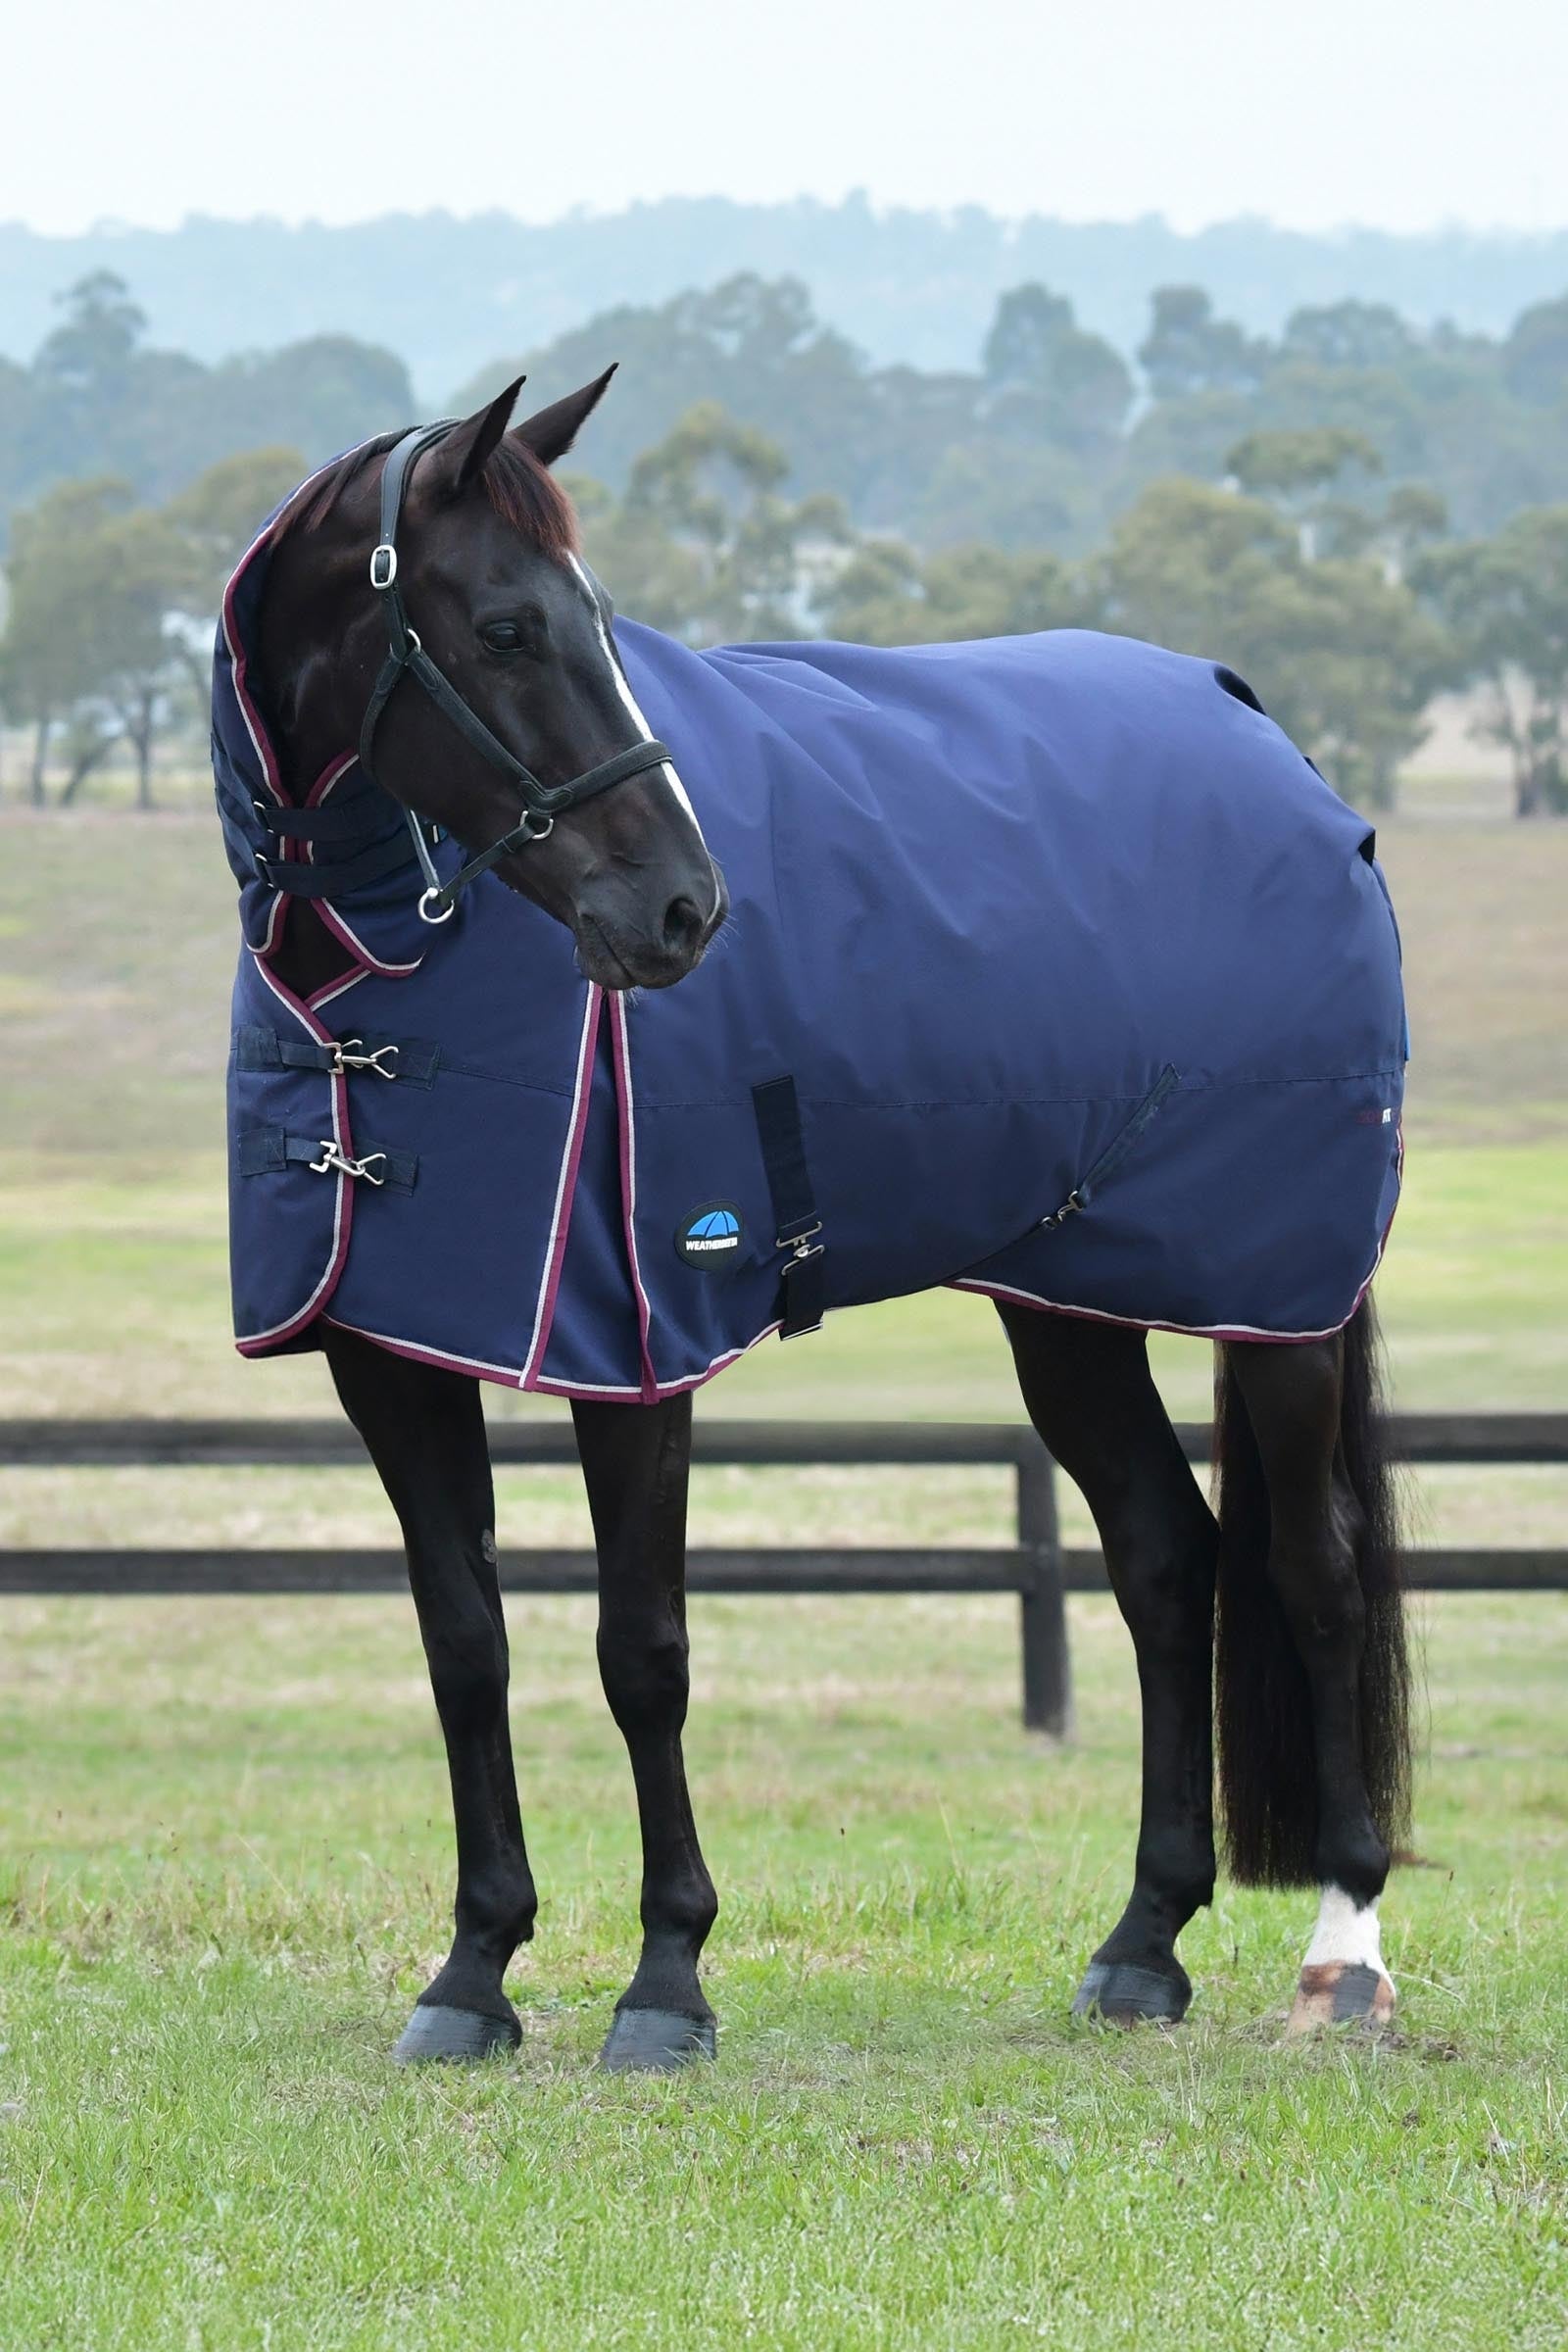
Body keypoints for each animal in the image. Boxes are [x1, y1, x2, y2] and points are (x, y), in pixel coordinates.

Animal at [214, 371, 1411, 2071]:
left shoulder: (637, 1347)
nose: (682, 911)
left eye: (594, 620)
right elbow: (466, 1646)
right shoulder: (388, 1353)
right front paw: (474, 1972)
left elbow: (642, 1652)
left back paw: (1346, 1953)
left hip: (1279, 1300)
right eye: (506, 627)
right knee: (1167, 1562)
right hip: (1072, 1306)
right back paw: (1141, 1948)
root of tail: (1272, 741)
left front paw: (666, 1982)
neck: (384, 979)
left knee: (1313, 1571)